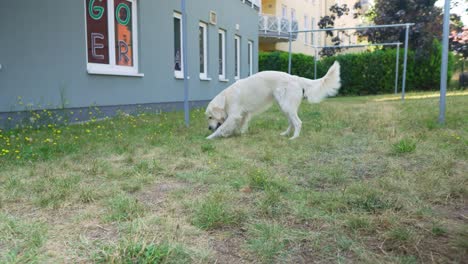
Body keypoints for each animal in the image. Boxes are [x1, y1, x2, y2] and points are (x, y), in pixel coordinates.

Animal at [205, 62, 340, 140]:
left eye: (210, 117)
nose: (209, 128)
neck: (226, 97)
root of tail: (295, 78)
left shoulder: (234, 115)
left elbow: (223, 127)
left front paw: (210, 137)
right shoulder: (244, 113)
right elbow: (241, 125)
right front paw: (238, 133)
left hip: (287, 106)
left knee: (298, 122)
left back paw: (294, 138)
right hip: (285, 107)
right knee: (292, 122)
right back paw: (285, 134)